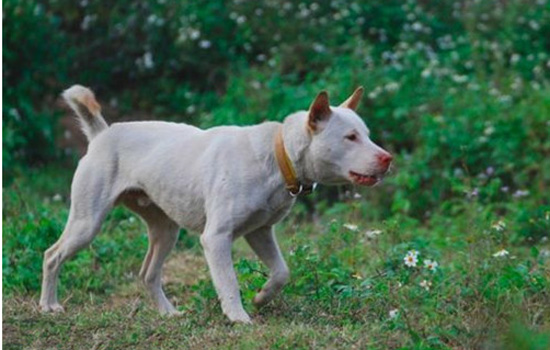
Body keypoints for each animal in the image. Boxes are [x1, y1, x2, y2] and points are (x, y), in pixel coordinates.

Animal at [40, 85, 392, 322]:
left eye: (367, 134)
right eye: (350, 137)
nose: (387, 159)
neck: (277, 156)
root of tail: (102, 133)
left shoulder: (260, 232)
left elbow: (282, 272)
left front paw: (262, 298)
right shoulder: (217, 238)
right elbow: (230, 282)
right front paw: (239, 318)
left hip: (166, 231)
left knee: (148, 274)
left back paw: (169, 313)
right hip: (87, 222)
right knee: (51, 255)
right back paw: (48, 305)